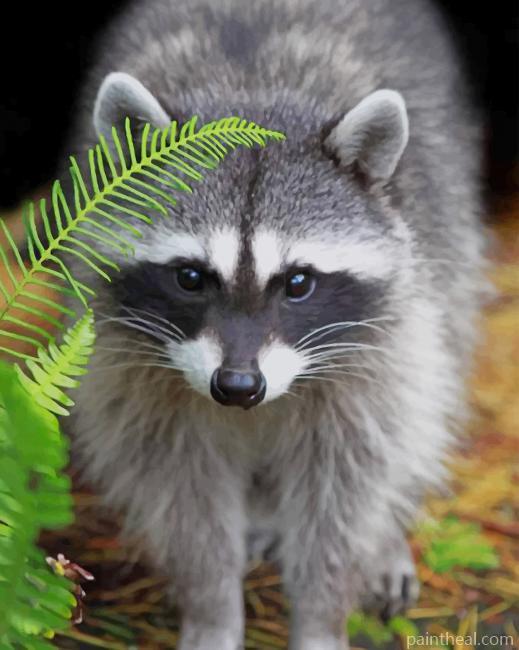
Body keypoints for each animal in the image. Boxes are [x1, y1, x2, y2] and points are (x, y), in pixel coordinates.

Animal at [65, 0, 485, 648]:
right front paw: (212, 607)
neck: (254, 95)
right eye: (190, 278)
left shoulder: (377, 346)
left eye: (298, 283)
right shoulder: (131, 369)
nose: (238, 387)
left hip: (444, 233)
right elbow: (180, 490)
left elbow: (351, 483)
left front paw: (322, 615)